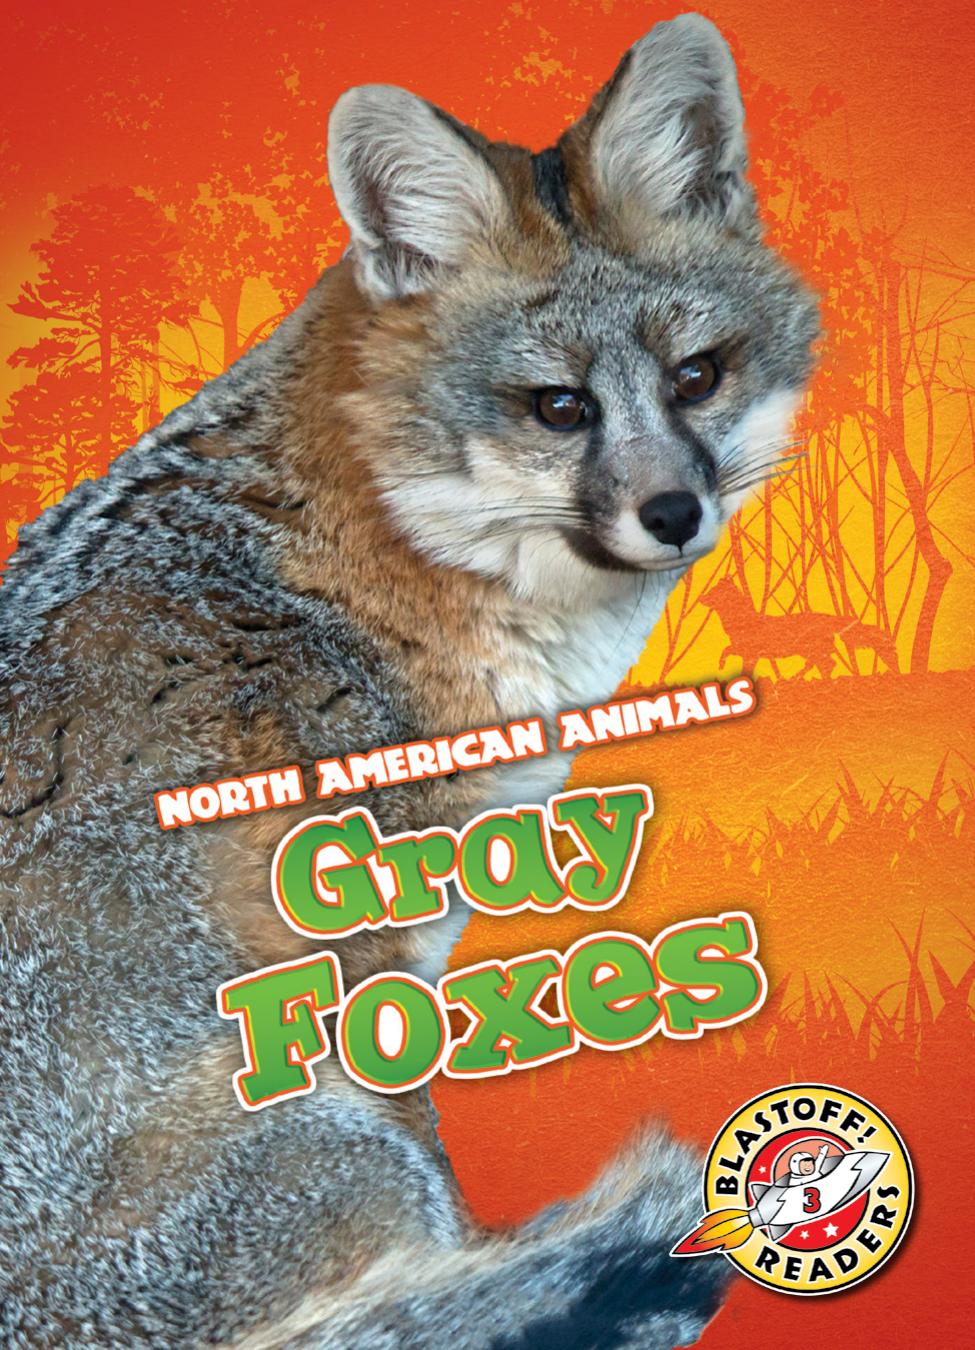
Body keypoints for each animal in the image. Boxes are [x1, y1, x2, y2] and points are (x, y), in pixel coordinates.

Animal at [700, 575, 899, 676]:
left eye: (713, 592)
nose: (701, 597)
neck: (742, 622)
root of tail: (826, 617)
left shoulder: (751, 652)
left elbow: (732, 656)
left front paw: (723, 667)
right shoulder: (744, 649)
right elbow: (728, 651)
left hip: (811, 648)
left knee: (825, 664)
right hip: (812, 650)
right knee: (825, 664)